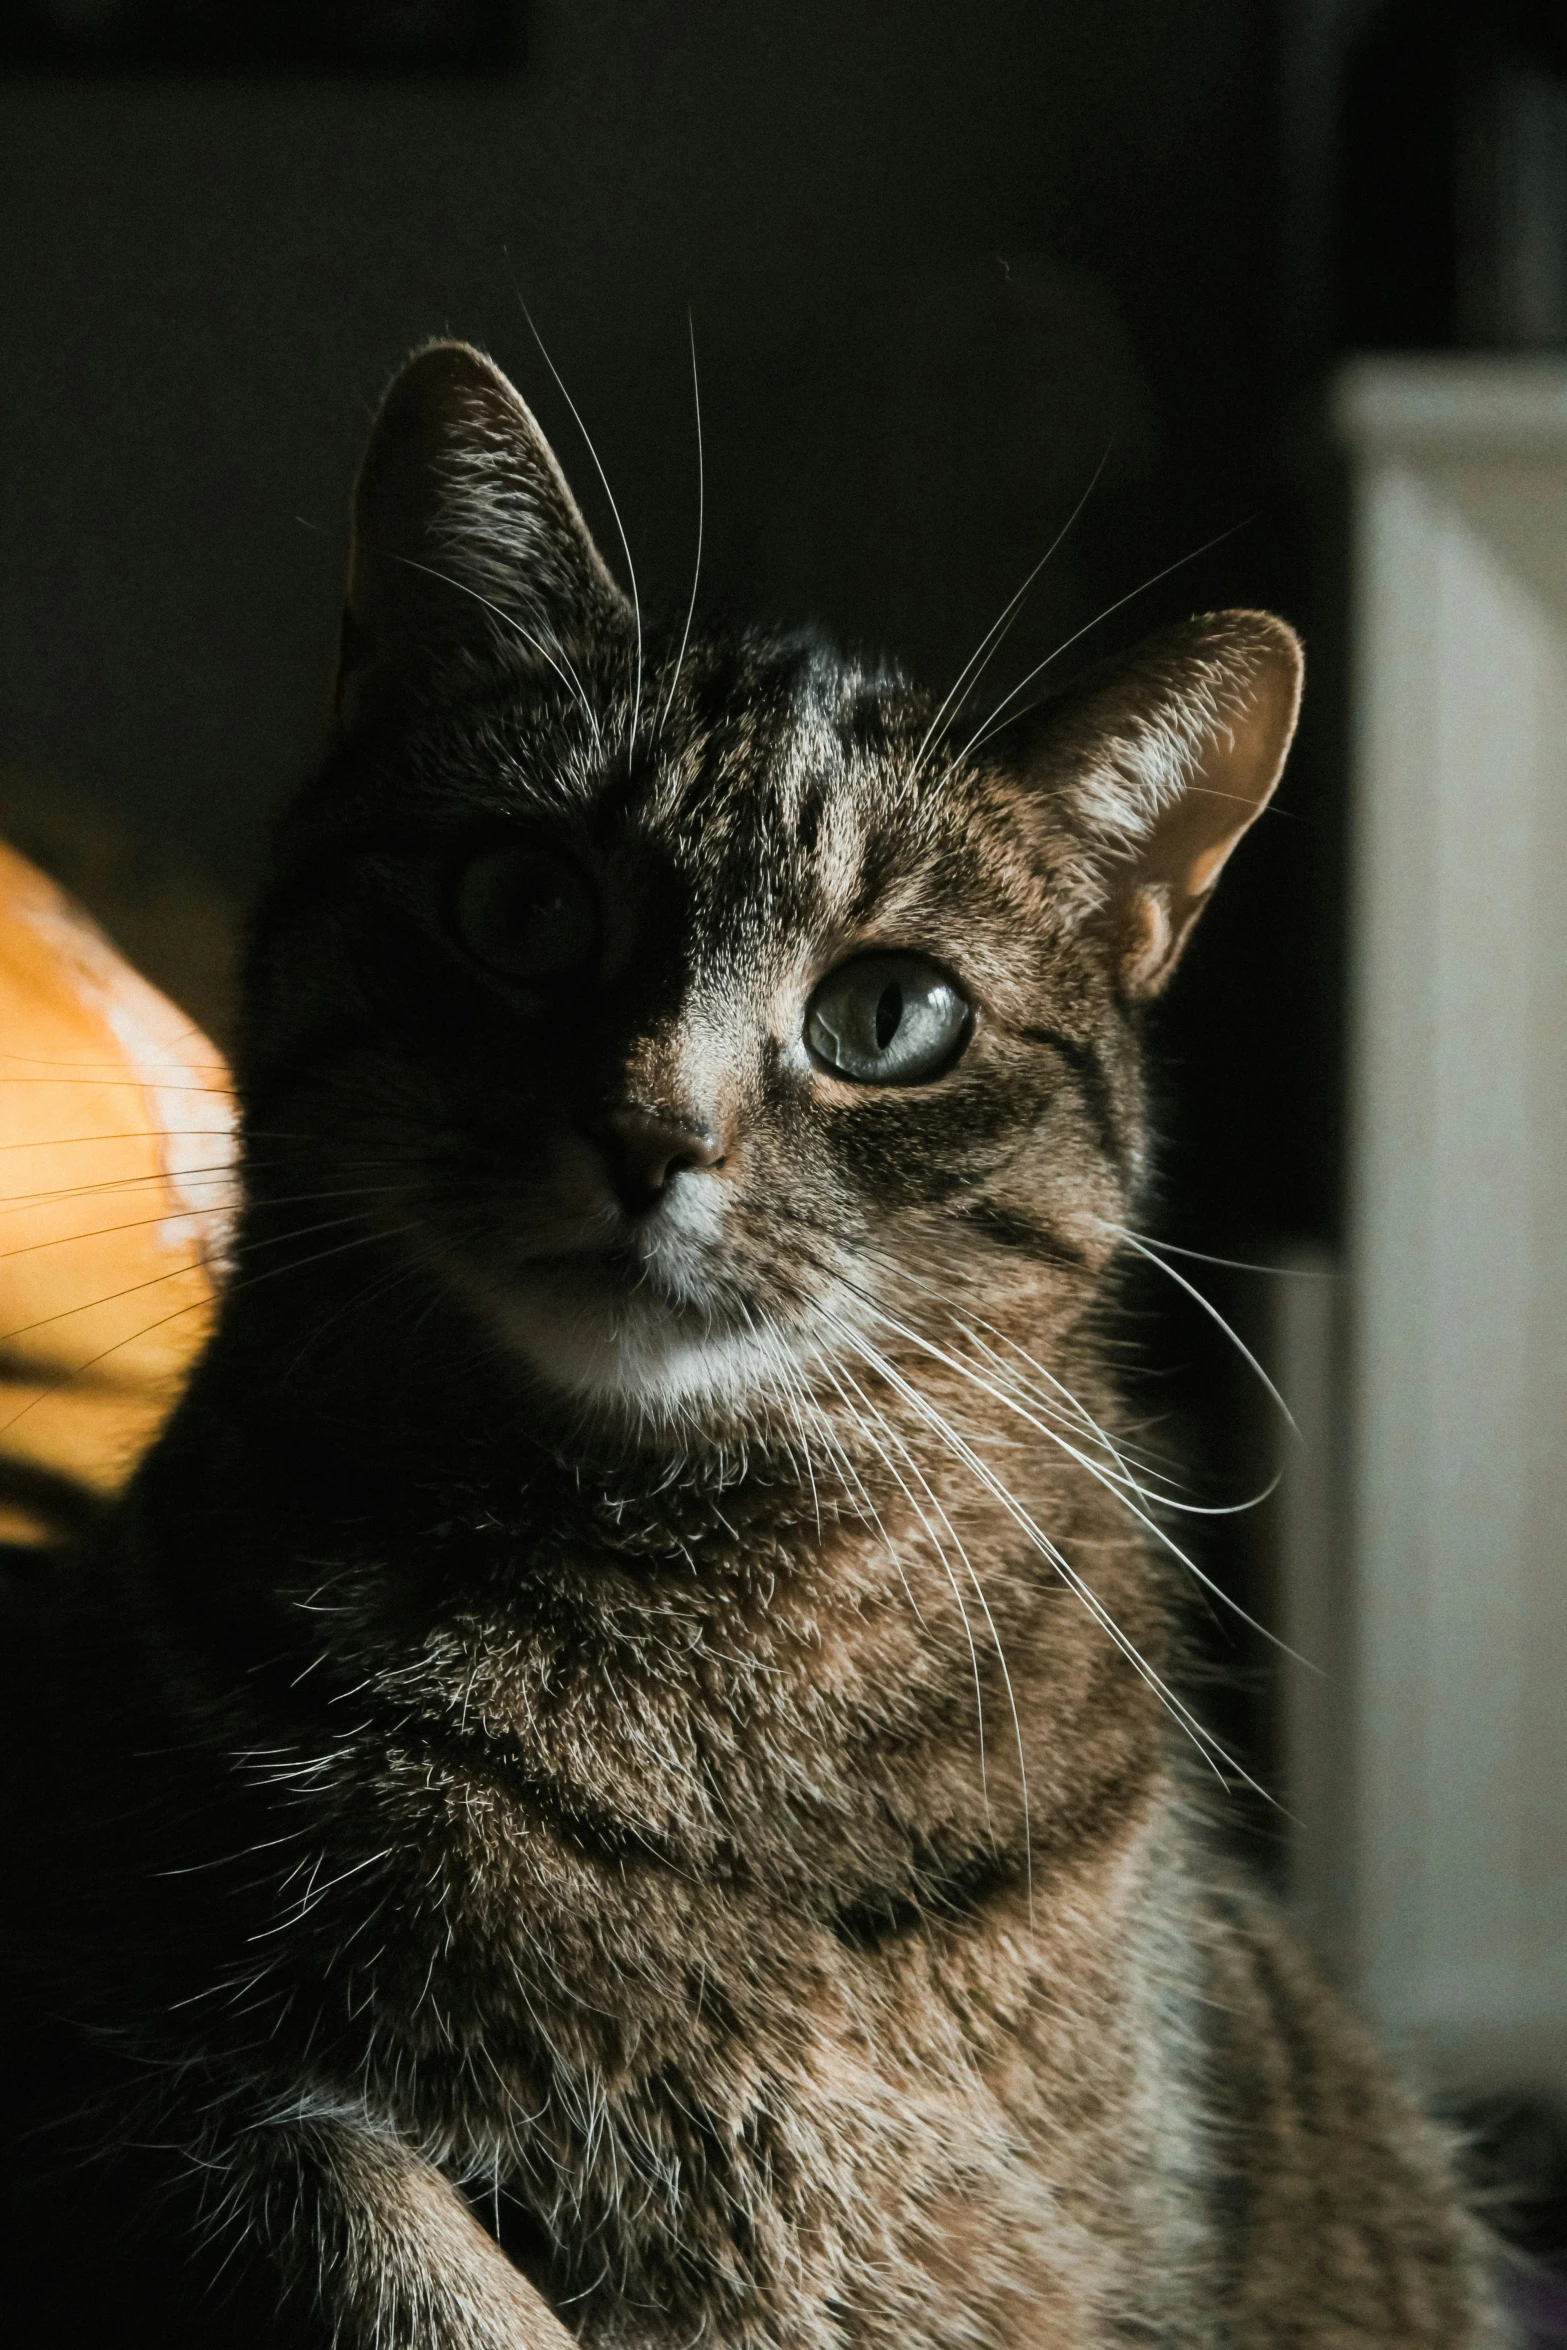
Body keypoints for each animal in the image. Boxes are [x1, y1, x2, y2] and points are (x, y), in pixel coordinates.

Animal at [0, 347, 1503, 2350]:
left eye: (889, 1016)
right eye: (524, 905)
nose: (652, 1133)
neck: (666, 1633)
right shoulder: (108, 2060)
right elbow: (371, 2216)